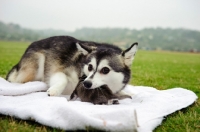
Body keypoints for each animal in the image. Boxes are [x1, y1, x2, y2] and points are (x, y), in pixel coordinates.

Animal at [5, 35, 138, 96]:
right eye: (90, 67)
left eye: (105, 70)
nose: (86, 83)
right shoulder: (58, 71)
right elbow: (62, 79)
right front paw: (54, 90)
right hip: (36, 63)